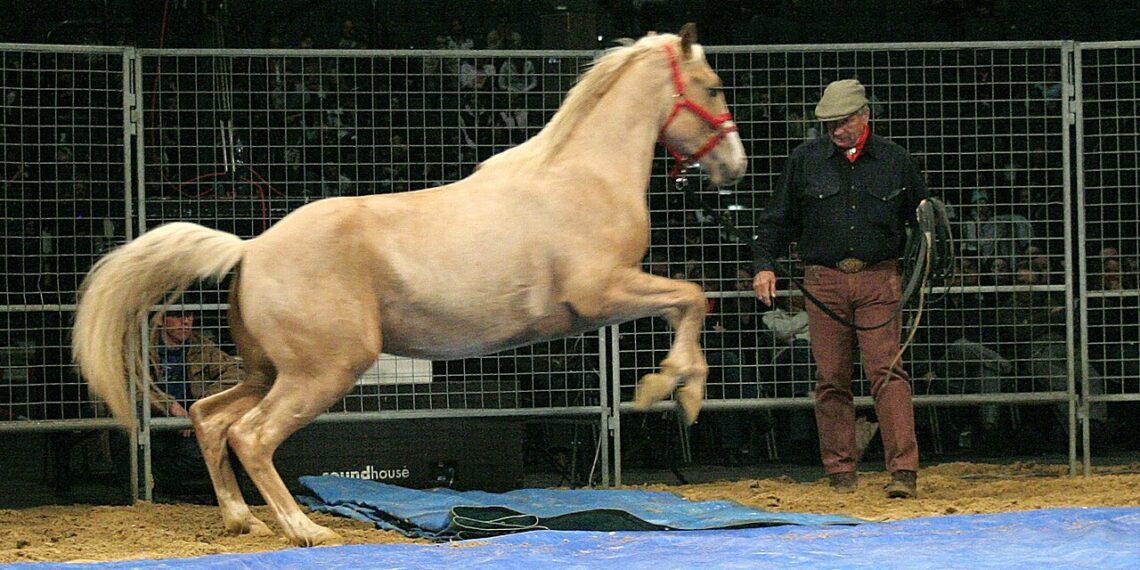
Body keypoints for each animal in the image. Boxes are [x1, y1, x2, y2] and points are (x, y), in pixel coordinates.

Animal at [72, 23, 747, 547]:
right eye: (713, 86)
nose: (736, 166)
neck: (583, 178)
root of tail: (251, 248)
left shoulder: (609, 300)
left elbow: (686, 303)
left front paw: (672, 388)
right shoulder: (603, 293)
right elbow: (692, 298)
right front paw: (677, 391)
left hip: (268, 370)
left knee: (210, 419)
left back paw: (245, 522)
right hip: (322, 371)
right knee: (252, 436)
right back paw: (304, 529)